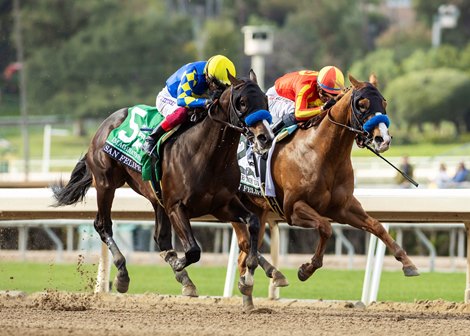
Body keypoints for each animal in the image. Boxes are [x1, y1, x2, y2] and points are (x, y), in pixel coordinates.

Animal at [50, 70, 276, 296]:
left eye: (265, 101)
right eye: (242, 102)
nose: (265, 137)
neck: (207, 156)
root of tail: (106, 124)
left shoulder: (222, 205)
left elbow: (253, 223)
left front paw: (249, 276)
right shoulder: (176, 206)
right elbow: (193, 250)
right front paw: (177, 263)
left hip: (156, 199)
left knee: (161, 238)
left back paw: (184, 279)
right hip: (106, 184)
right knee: (103, 225)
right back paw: (123, 274)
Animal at [231, 75, 418, 308]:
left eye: (384, 102)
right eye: (362, 104)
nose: (382, 139)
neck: (322, 152)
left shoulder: (343, 208)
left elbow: (377, 226)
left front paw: (408, 263)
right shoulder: (294, 209)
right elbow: (326, 227)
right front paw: (306, 269)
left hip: (259, 209)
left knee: (245, 253)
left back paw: (250, 295)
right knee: (246, 244)